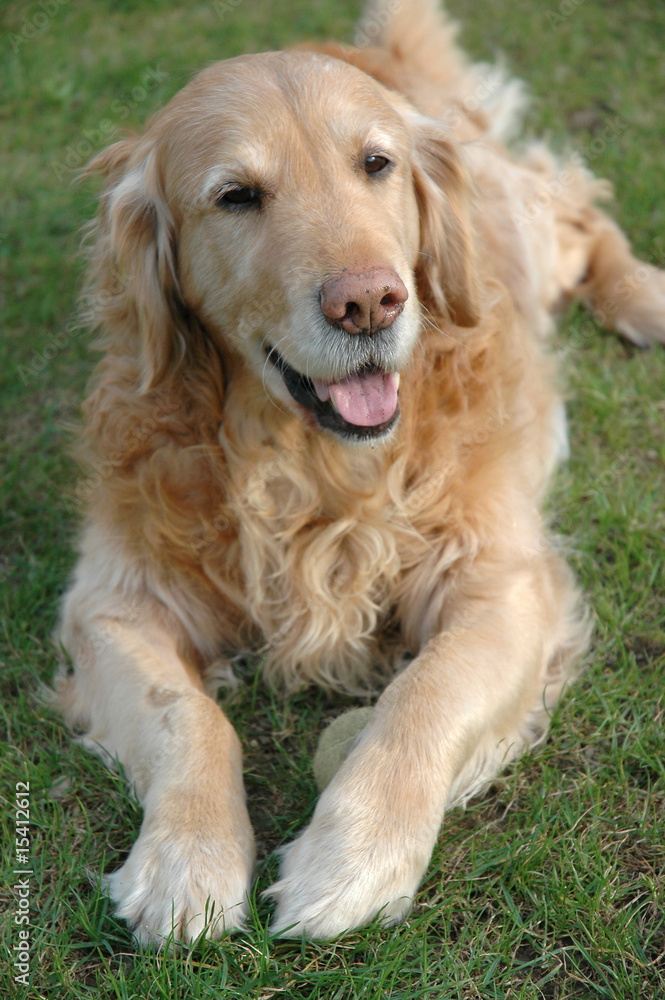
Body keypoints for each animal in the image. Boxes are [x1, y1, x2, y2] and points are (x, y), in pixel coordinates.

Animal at [55, 0, 664, 944]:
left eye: (375, 164)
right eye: (236, 196)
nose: (369, 303)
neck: (310, 466)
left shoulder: (503, 584)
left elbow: (426, 692)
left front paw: (353, 858)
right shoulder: (113, 602)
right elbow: (185, 715)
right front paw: (185, 857)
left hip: (532, 230)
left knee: (582, 214)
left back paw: (645, 298)